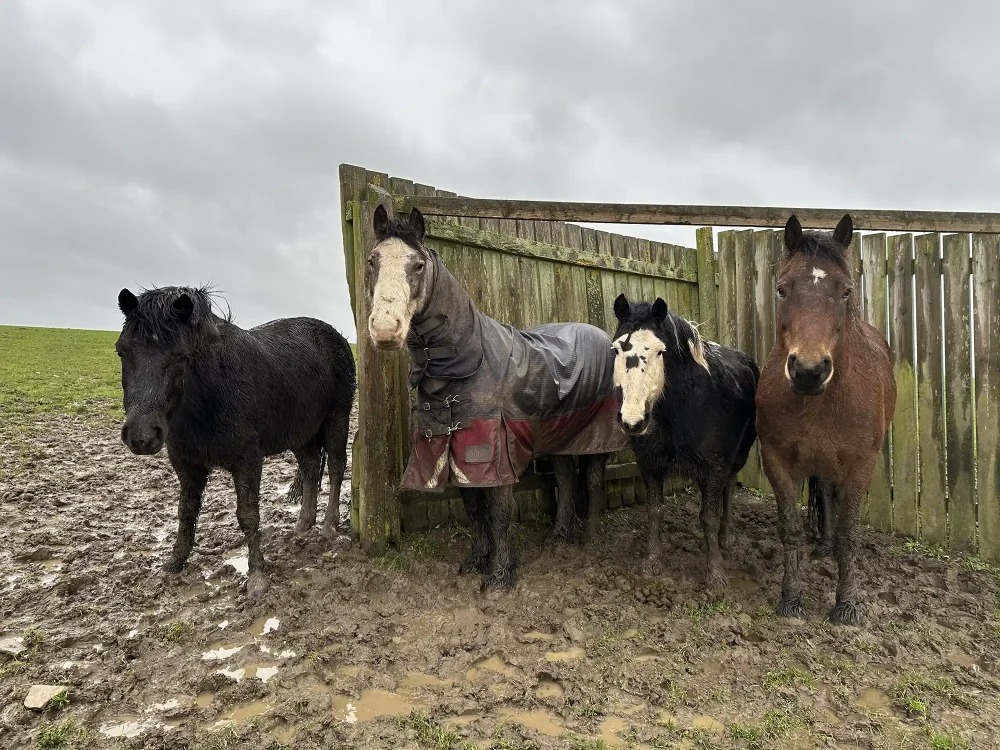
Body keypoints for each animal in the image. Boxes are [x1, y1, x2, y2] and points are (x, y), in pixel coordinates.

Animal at [116, 286, 356, 598]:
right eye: (122, 351)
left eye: (181, 356)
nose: (141, 436)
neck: (211, 390)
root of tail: (336, 336)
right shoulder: (186, 463)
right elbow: (185, 511)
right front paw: (174, 561)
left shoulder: (247, 460)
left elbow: (248, 515)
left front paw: (257, 576)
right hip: (301, 432)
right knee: (312, 467)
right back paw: (303, 523)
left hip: (337, 418)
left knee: (337, 467)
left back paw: (328, 525)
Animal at [365, 205, 629, 590]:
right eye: (373, 261)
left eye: (418, 265)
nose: (386, 330)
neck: (467, 361)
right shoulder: (456, 449)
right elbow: (475, 511)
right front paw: (477, 562)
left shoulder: (494, 451)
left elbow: (499, 512)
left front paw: (501, 577)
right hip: (560, 436)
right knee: (566, 479)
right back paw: (558, 537)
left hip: (598, 439)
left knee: (593, 480)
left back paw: (591, 539)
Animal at [610, 294, 759, 586]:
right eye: (616, 350)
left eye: (660, 351)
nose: (633, 420)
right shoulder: (650, 464)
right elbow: (655, 511)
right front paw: (652, 562)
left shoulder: (715, 466)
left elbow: (709, 517)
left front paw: (715, 574)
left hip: (739, 454)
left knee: (728, 490)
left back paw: (726, 538)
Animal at [755, 214, 896, 626]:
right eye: (782, 289)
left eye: (846, 291)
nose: (809, 370)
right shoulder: (776, 460)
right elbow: (789, 529)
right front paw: (791, 600)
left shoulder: (861, 464)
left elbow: (850, 533)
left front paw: (847, 605)